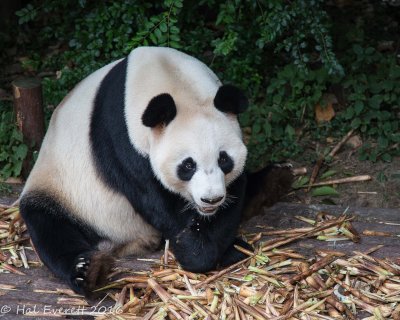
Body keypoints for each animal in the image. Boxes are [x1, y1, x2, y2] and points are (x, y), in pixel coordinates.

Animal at [19, 46, 256, 296]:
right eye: (188, 165)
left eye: (224, 159)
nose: (211, 199)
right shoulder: (121, 140)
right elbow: (156, 203)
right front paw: (197, 253)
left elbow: (233, 195)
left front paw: (227, 248)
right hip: (63, 187)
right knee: (50, 227)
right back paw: (88, 270)